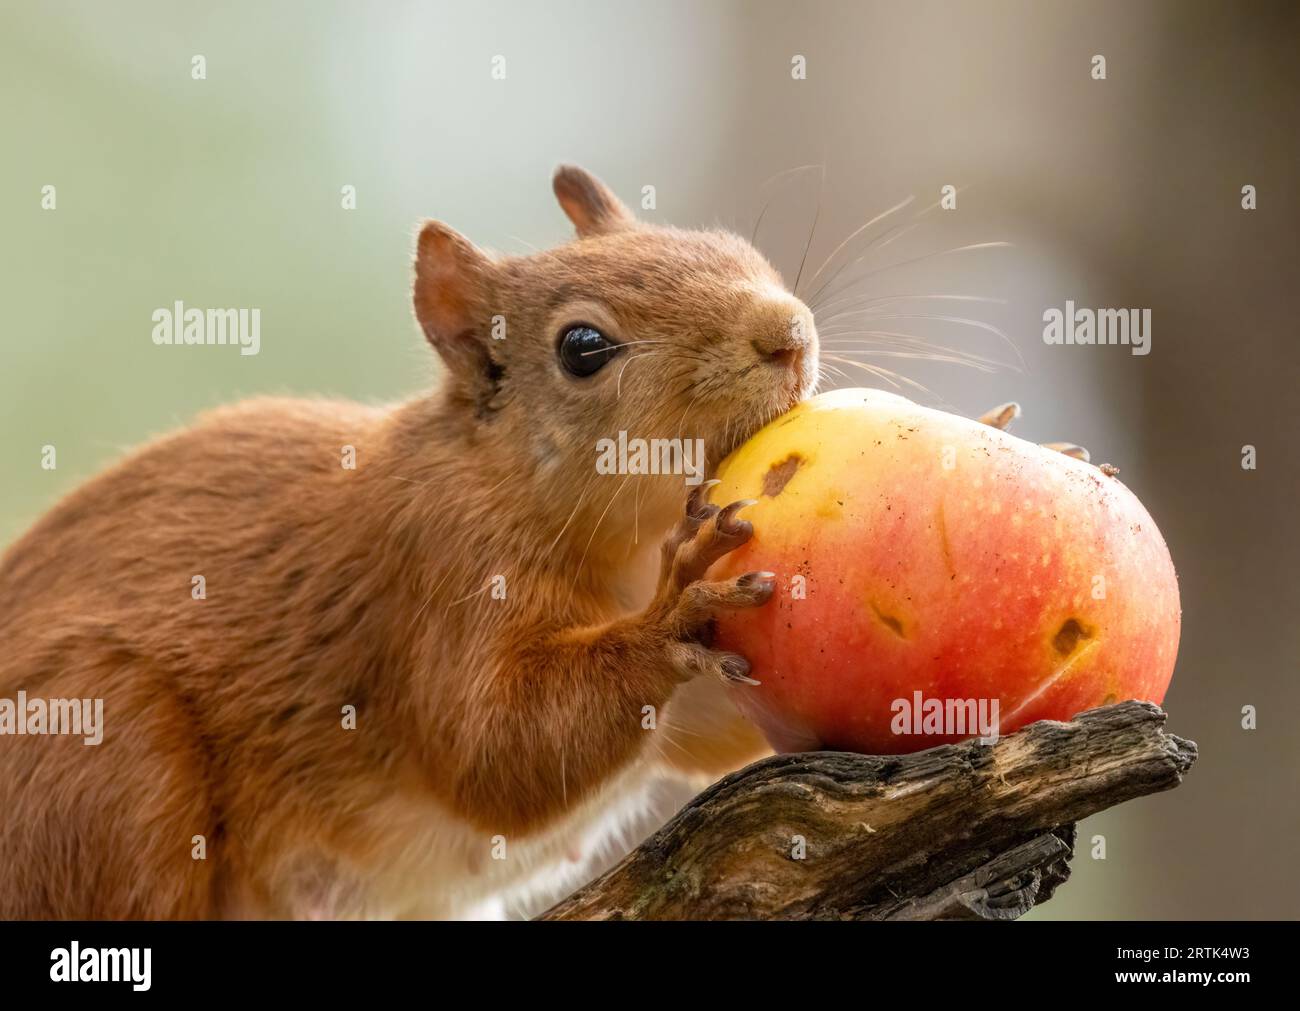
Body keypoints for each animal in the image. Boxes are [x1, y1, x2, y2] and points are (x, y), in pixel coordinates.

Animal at [0, 163, 816, 914]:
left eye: (730, 245)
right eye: (583, 348)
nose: (788, 336)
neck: (629, 548)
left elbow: (718, 733)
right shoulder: (441, 569)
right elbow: (494, 752)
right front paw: (672, 612)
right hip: (102, 752)